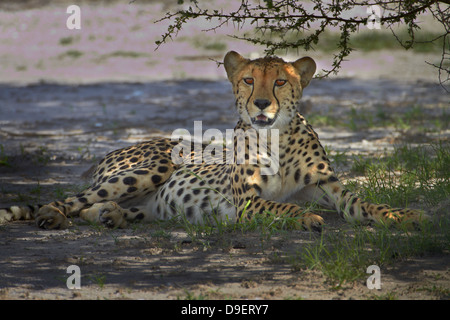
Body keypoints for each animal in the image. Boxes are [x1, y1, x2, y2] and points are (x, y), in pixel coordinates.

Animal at [0, 50, 428, 230]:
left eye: (280, 81)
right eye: (249, 79)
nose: (261, 103)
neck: (276, 137)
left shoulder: (331, 188)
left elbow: (366, 204)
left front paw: (405, 215)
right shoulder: (248, 203)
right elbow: (284, 206)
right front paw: (306, 217)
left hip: (152, 205)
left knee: (98, 209)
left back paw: (112, 217)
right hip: (155, 166)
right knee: (70, 200)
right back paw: (51, 215)